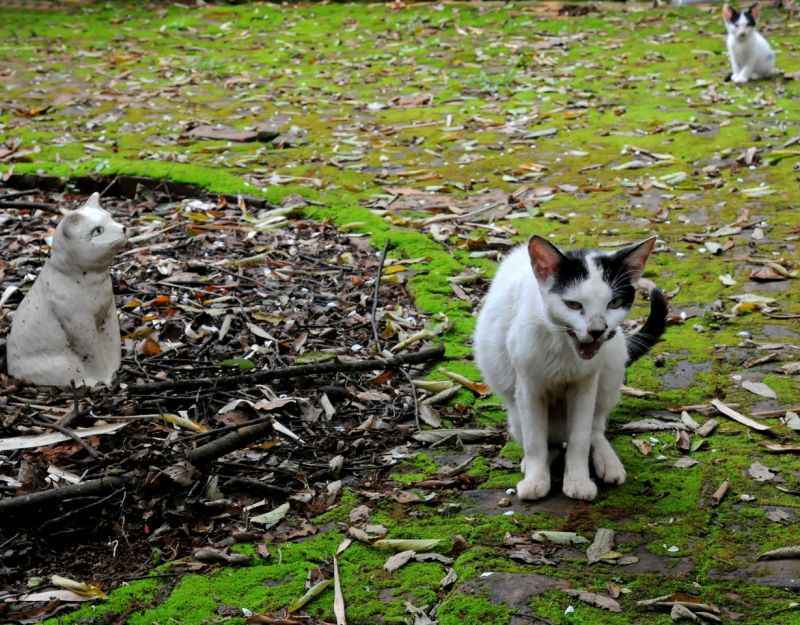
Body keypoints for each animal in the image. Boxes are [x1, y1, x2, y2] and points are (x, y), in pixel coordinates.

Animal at [8, 191, 127, 386]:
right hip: (63, 364)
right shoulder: (78, 322)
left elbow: (113, 343)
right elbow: (93, 354)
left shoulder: (108, 312)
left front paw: (113, 371)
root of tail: (11, 370)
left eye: (111, 218)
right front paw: (102, 379)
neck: (93, 282)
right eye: (97, 231)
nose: (123, 228)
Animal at [476, 236, 668, 500]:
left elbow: (580, 437)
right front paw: (536, 479)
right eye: (574, 305)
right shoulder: (528, 387)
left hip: (612, 362)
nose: (597, 330)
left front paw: (578, 481)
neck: (563, 346)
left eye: (614, 303)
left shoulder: (586, 384)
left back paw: (607, 461)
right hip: (514, 409)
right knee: (542, 437)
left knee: (595, 427)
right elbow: (534, 440)